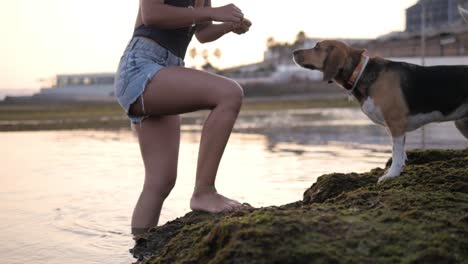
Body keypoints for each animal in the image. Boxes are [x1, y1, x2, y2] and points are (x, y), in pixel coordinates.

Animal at [294, 40, 468, 183]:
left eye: (317, 47)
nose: (294, 52)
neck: (361, 73)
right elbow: (400, 153)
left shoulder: (396, 124)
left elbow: (396, 153)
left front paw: (391, 175)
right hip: (461, 123)